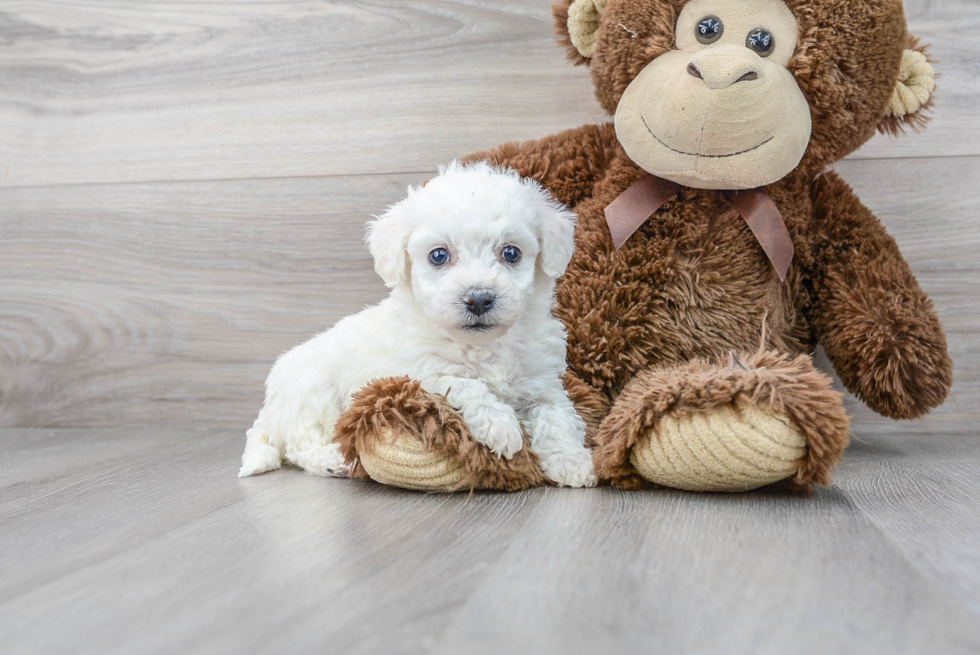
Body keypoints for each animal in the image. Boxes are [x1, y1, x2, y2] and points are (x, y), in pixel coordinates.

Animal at [241, 160, 600, 486]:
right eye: (438, 255)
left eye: (511, 253)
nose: (479, 299)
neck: (482, 345)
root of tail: (268, 410)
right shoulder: (420, 373)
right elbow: (465, 383)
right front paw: (501, 426)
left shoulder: (542, 382)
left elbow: (555, 415)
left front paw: (571, 461)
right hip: (313, 395)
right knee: (299, 446)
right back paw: (333, 460)